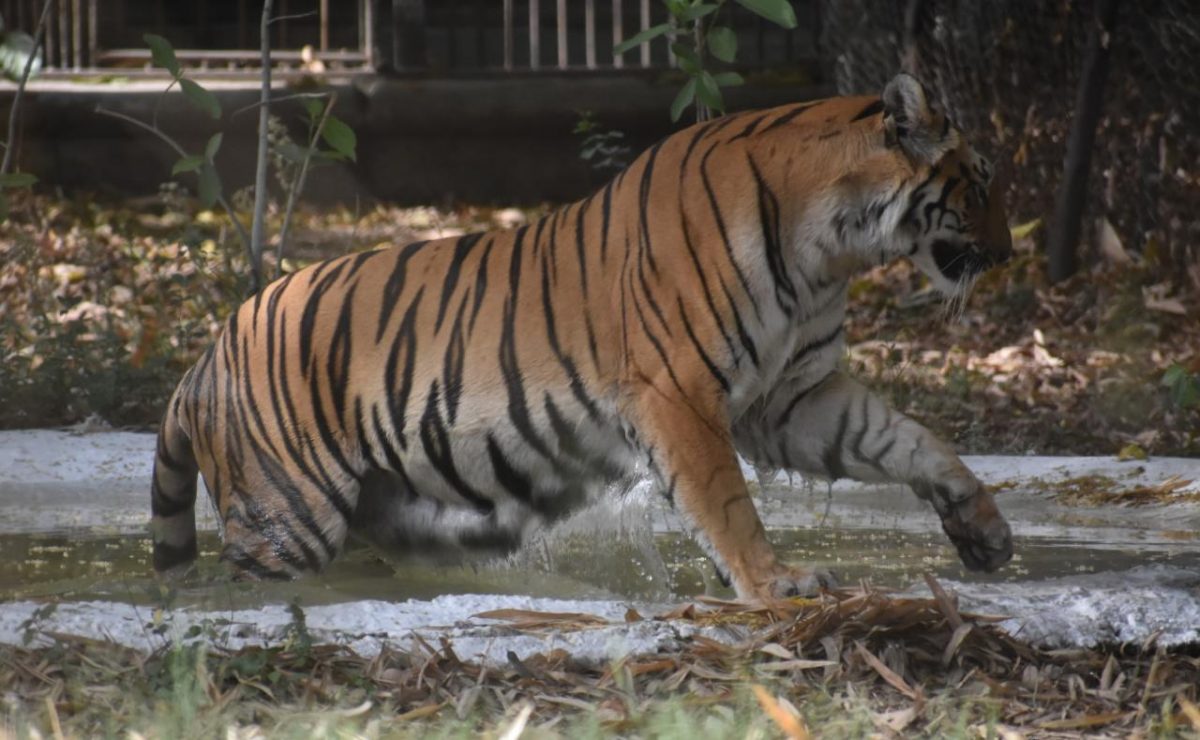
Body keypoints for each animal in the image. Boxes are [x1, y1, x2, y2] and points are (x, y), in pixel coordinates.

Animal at [150, 73, 1013, 602]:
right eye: (978, 184)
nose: (1009, 254)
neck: (830, 252)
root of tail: (200, 364)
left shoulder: (795, 396)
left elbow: (907, 439)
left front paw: (982, 528)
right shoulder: (678, 391)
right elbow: (727, 500)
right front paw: (776, 585)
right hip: (287, 515)